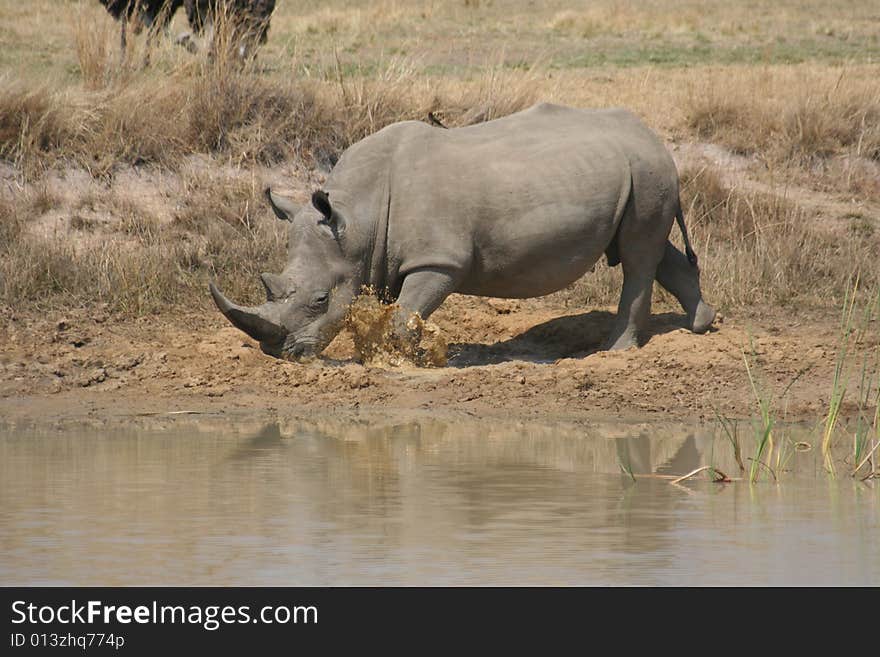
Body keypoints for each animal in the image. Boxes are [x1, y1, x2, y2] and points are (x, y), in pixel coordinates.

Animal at [211, 102, 716, 358]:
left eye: (320, 300)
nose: (279, 353)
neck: (356, 218)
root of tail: (652, 135)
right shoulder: (384, 257)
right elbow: (398, 313)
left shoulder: (439, 261)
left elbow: (405, 316)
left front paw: (402, 361)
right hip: (637, 170)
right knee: (649, 247)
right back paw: (701, 325)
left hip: (646, 168)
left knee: (636, 255)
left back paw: (613, 352)